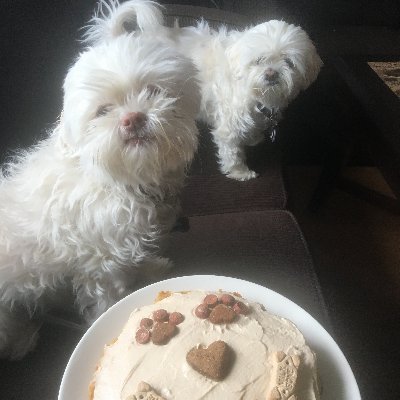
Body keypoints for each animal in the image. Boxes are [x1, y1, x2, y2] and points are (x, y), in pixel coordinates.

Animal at [0, 0, 199, 360]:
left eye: (153, 90)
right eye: (103, 110)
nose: (133, 118)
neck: (121, 181)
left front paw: (152, 269)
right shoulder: (102, 266)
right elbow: (108, 298)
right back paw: (22, 339)